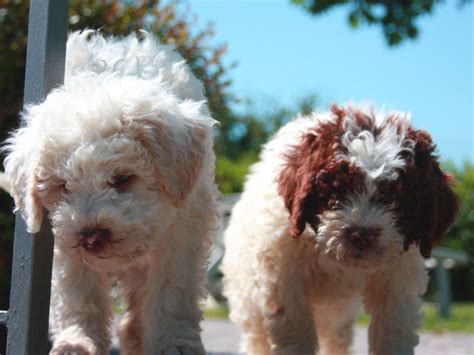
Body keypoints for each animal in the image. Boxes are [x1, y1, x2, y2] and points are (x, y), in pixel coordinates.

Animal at [3, 31, 218, 355]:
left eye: (122, 178)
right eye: (63, 186)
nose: (92, 237)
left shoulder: (184, 228)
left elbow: (173, 289)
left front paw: (175, 343)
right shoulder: (66, 239)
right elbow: (79, 291)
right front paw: (78, 342)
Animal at [222, 103, 460, 355]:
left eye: (395, 198)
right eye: (335, 191)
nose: (361, 235)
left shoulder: (398, 278)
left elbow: (392, 328)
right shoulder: (283, 275)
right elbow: (295, 330)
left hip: (337, 311)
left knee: (336, 336)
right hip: (247, 291)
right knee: (256, 334)